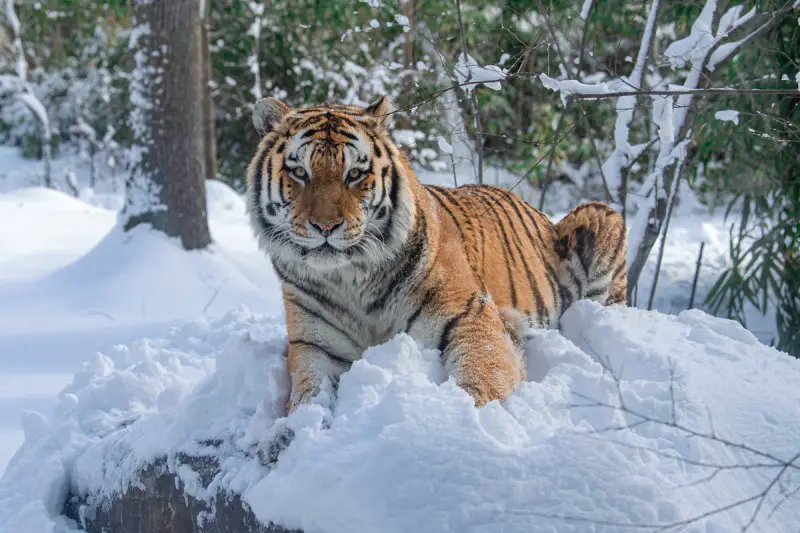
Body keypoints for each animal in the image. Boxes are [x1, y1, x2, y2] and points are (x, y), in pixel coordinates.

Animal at [247, 95, 628, 412]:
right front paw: (289, 436)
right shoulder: (314, 345)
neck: (351, 279)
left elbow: (483, 375)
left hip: (602, 216)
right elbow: (307, 397)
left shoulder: (470, 316)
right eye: (299, 172)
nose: (326, 226)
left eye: (355, 174)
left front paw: (464, 418)